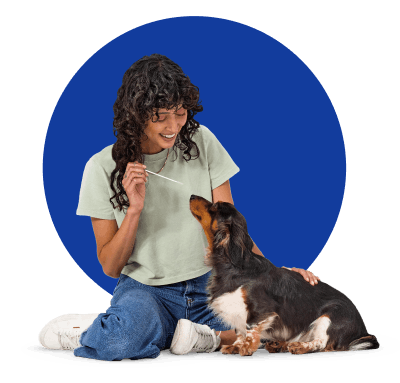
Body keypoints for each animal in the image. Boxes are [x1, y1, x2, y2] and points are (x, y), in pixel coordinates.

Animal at [189, 195, 380, 356]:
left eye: (215, 206)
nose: (191, 196)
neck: (233, 263)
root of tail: (361, 330)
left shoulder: (260, 309)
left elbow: (250, 329)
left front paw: (245, 348)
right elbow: (240, 331)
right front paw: (236, 346)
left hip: (329, 317)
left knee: (321, 343)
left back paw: (297, 346)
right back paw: (280, 344)